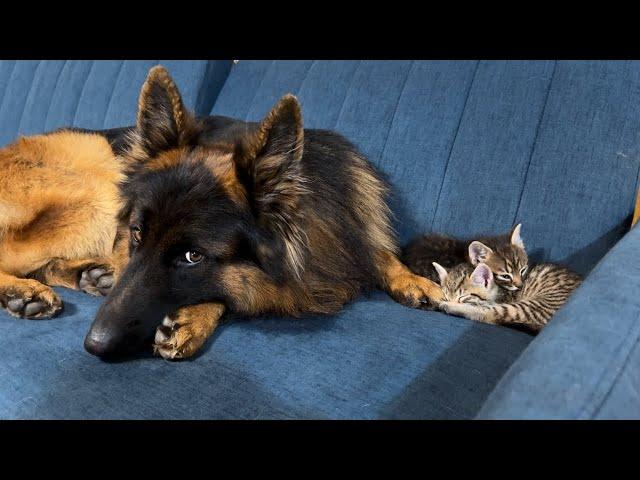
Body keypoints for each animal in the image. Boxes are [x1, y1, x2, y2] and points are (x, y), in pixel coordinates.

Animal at [0, 66, 442, 360]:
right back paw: (23, 292)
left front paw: (413, 278)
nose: (94, 345)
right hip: (96, 185)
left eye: (192, 256)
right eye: (137, 233)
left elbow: (377, 252)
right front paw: (195, 318)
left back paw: (89, 274)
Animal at [436, 260, 580, 332]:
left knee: (489, 313)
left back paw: (449, 307)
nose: (449, 301)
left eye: (463, 297)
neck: (499, 289)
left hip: (534, 306)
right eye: (447, 295)